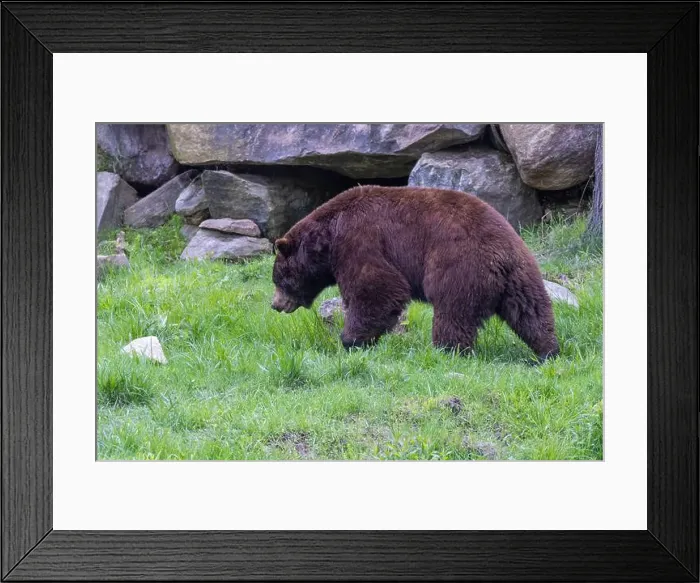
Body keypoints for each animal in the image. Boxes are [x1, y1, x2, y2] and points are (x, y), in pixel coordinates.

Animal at [271, 185, 559, 360]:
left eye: (279, 278)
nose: (275, 305)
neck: (327, 237)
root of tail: (502, 256)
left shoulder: (359, 239)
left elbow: (377, 286)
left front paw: (351, 339)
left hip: (460, 267)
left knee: (454, 311)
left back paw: (447, 349)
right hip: (522, 275)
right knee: (531, 311)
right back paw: (548, 350)